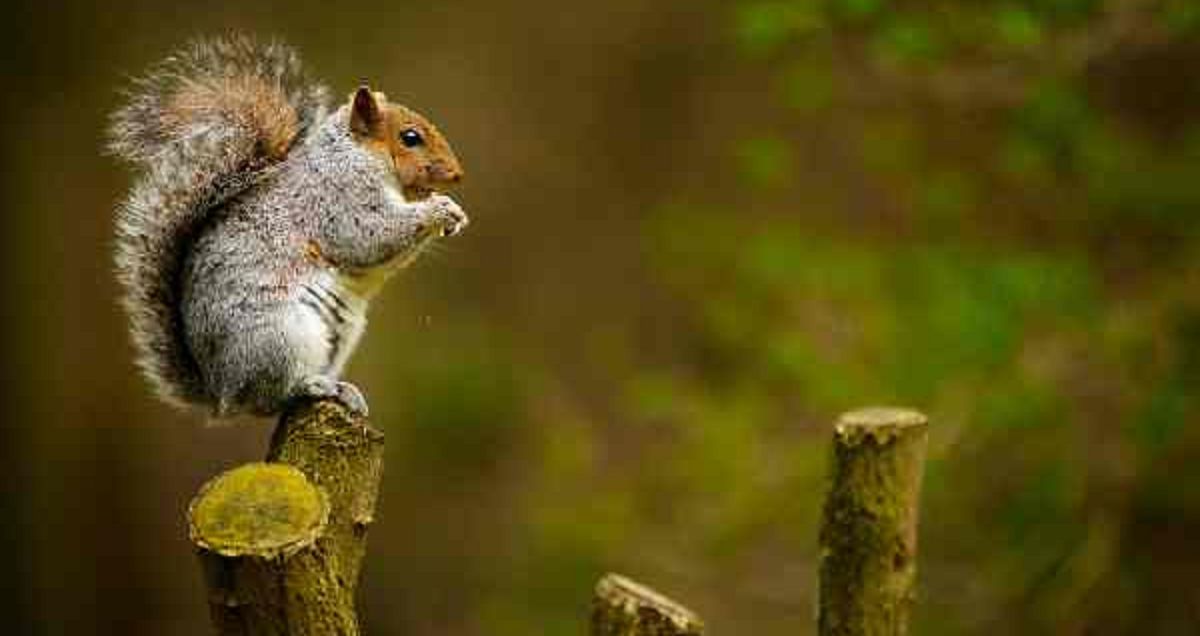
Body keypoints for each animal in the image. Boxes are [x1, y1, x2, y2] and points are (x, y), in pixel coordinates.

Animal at [108, 36, 467, 418]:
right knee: (272, 397)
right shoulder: (338, 201)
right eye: (410, 137)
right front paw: (439, 209)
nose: (457, 174)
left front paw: (454, 213)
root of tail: (221, 392)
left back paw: (344, 390)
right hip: (281, 337)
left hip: (339, 336)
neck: (358, 155)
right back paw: (314, 385)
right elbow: (372, 236)